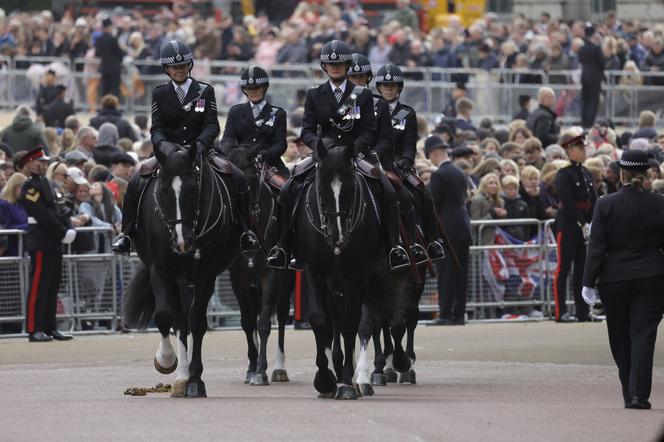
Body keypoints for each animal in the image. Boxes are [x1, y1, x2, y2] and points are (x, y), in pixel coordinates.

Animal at [124, 144, 241, 398]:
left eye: (193, 187)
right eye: (163, 190)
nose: (182, 242)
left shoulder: (206, 275)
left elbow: (197, 321)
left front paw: (196, 380)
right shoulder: (160, 270)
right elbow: (163, 315)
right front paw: (166, 361)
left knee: (189, 319)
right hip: (176, 280)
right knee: (179, 320)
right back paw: (181, 377)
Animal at [226, 146, 294, 386]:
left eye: (252, 180)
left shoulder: (270, 277)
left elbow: (264, 323)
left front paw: (260, 371)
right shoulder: (238, 279)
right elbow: (248, 322)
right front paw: (251, 368)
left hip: (286, 279)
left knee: (281, 316)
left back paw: (279, 368)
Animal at [294, 142, 386, 400]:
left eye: (351, 187)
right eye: (321, 187)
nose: (338, 237)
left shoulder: (357, 275)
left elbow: (351, 323)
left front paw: (345, 382)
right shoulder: (314, 271)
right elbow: (319, 319)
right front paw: (325, 379)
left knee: (369, 321)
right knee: (335, 319)